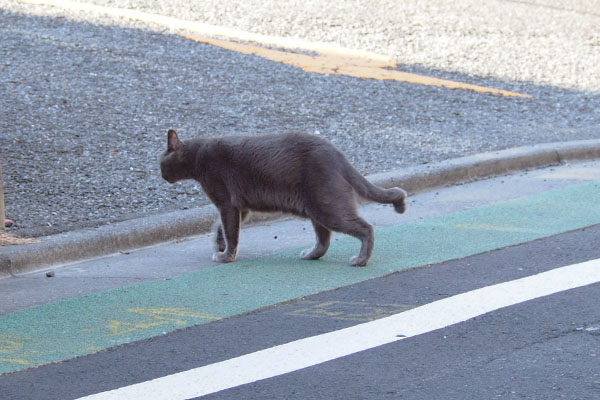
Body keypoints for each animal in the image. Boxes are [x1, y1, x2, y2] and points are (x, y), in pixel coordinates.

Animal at [159, 130, 406, 266]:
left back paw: (360, 260)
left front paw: (226, 256)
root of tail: (337, 154)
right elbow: (220, 226)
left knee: (365, 228)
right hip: (316, 207)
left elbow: (230, 231)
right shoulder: (241, 207)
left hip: (327, 205)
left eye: (160, 162)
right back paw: (309, 255)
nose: (161, 175)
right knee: (324, 240)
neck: (198, 155)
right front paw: (220, 246)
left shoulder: (226, 202)